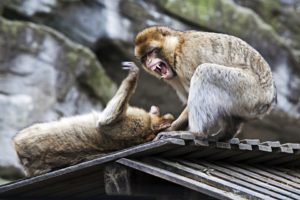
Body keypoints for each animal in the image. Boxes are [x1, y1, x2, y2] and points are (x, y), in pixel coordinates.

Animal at [134, 25, 276, 140]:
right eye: (145, 57)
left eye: (152, 52)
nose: (149, 62)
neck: (176, 48)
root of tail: (269, 101)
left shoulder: (187, 57)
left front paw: (172, 128)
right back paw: (226, 133)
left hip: (248, 92)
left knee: (205, 72)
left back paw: (196, 133)